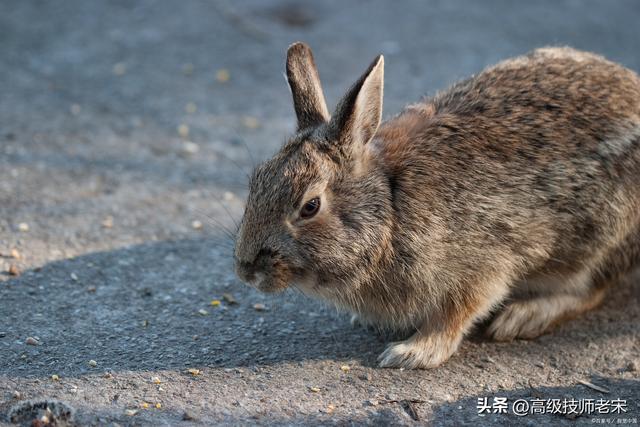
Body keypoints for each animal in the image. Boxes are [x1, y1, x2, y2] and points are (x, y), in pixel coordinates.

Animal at [234, 44, 640, 372]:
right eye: (256, 180)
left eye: (310, 206)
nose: (245, 270)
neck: (390, 209)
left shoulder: (481, 266)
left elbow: (457, 313)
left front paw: (412, 353)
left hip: (600, 238)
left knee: (592, 288)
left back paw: (523, 316)